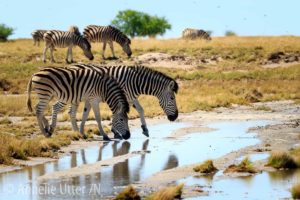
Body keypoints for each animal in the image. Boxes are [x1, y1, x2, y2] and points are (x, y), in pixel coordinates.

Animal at [50, 64, 179, 139]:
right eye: (172, 98)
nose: (175, 117)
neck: (136, 82)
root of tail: (71, 65)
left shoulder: (131, 97)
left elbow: (141, 110)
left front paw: (145, 129)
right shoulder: (125, 96)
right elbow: (118, 113)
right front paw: (115, 131)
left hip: (75, 97)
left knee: (70, 111)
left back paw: (76, 132)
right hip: (68, 95)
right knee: (56, 106)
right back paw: (53, 129)